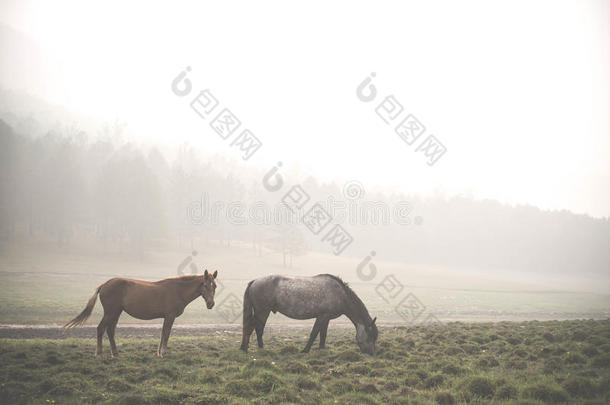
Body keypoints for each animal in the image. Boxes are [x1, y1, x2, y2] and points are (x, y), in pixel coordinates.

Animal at [63, 270, 216, 356]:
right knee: (101, 328)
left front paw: (158, 352)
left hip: (116, 312)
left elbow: (163, 333)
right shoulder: (170, 316)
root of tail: (105, 284)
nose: (211, 304)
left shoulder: (166, 317)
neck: (177, 290)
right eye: (205, 285)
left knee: (110, 330)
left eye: (215, 286)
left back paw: (115, 353)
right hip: (110, 312)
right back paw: (99, 353)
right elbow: (166, 333)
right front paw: (163, 352)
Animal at [239, 274, 376, 354]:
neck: (340, 294)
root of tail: (255, 281)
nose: (371, 353)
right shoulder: (321, 316)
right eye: (370, 337)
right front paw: (305, 350)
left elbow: (323, 334)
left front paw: (321, 349)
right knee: (255, 328)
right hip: (262, 311)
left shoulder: (326, 318)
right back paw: (255, 348)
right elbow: (314, 333)